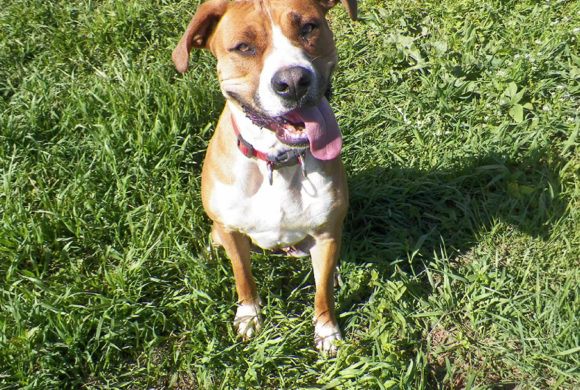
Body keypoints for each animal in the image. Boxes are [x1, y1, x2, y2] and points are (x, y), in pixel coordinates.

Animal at [170, 0, 356, 354]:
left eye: (308, 27)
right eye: (243, 47)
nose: (293, 81)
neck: (276, 161)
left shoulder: (326, 232)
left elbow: (322, 293)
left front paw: (327, 332)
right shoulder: (231, 230)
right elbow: (243, 276)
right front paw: (248, 316)